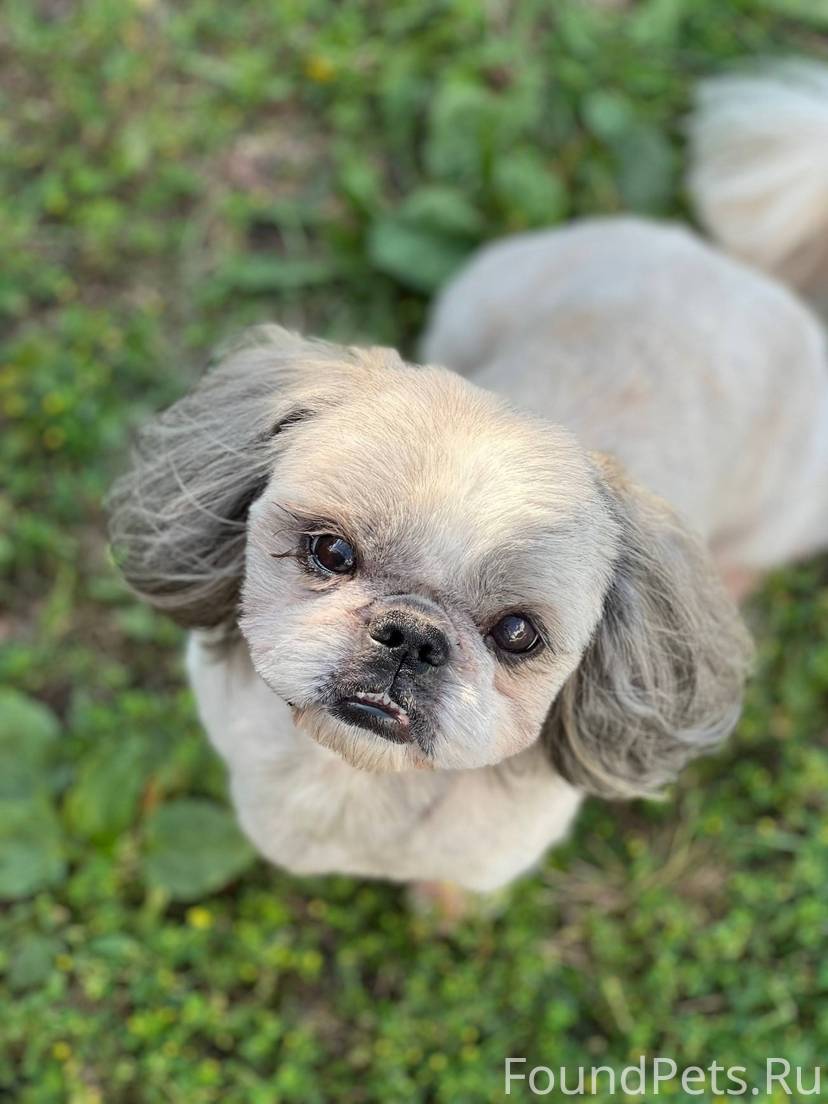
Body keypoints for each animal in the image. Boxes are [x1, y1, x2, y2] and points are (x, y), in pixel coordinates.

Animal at [108, 63, 828, 897]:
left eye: (517, 633)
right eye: (330, 552)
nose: (412, 637)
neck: (351, 779)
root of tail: (733, 265)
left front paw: (440, 906)